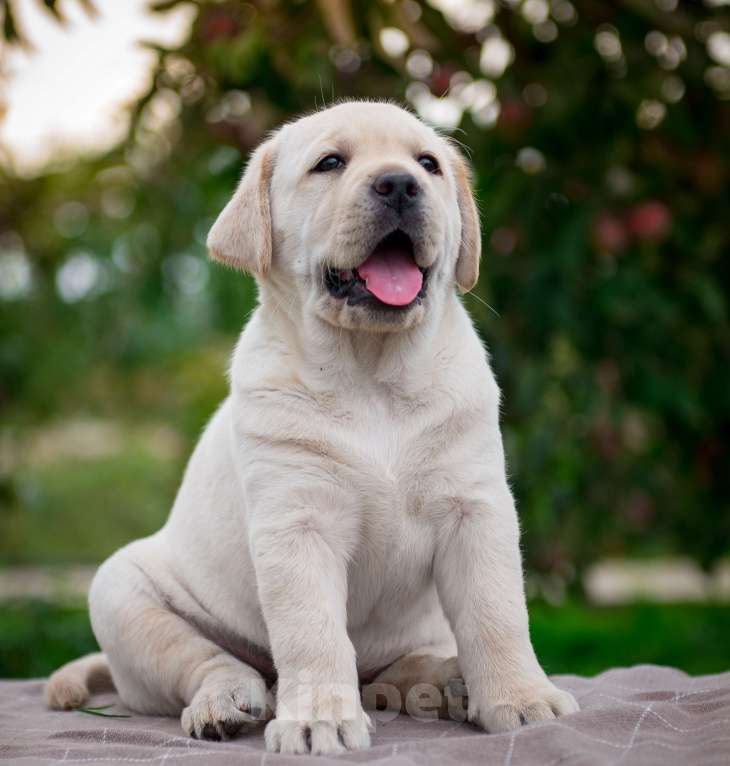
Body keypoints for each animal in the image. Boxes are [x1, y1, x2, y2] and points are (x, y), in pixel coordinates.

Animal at [47, 102, 580, 756]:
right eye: (329, 164)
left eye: (428, 165)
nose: (400, 183)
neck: (373, 377)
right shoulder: (297, 524)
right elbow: (313, 631)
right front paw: (317, 720)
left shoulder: (475, 508)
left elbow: (497, 612)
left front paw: (522, 699)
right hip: (122, 593)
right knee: (213, 662)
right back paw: (227, 702)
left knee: (398, 668)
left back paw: (448, 682)